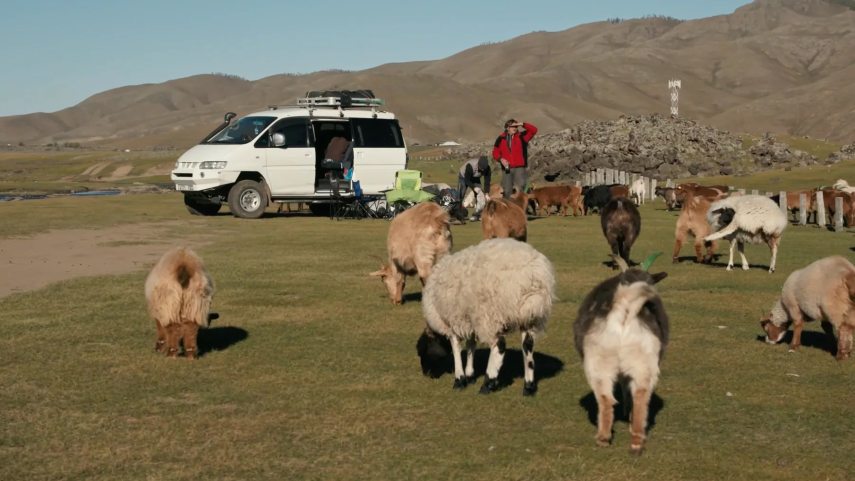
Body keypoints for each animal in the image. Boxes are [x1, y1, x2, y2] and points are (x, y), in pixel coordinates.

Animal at [420, 238, 556, 396]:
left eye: (424, 350)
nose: (426, 373)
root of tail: (534, 277)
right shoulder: (469, 320)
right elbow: (471, 345)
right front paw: (470, 374)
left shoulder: (450, 321)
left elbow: (456, 348)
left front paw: (459, 379)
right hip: (530, 316)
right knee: (527, 345)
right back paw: (528, 386)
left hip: (490, 315)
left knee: (499, 345)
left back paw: (488, 383)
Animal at [576, 253, 668, 452]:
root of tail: (626, 306)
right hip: (643, 362)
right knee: (639, 396)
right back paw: (636, 439)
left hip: (598, 361)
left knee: (606, 398)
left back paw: (604, 437)